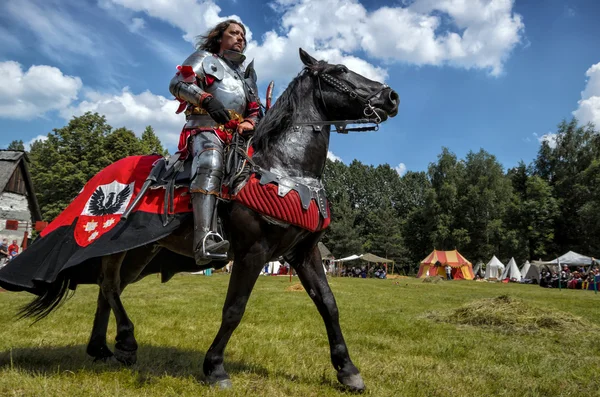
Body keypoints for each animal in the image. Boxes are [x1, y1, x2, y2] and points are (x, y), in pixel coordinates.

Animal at [14, 48, 398, 390]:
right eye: (341, 70)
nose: (391, 96)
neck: (285, 169)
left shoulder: (304, 254)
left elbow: (328, 305)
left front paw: (347, 370)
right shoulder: (252, 253)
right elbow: (234, 309)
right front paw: (214, 367)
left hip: (142, 252)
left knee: (109, 290)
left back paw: (104, 348)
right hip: (115, 245)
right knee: (108, 285)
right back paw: (126, 340)